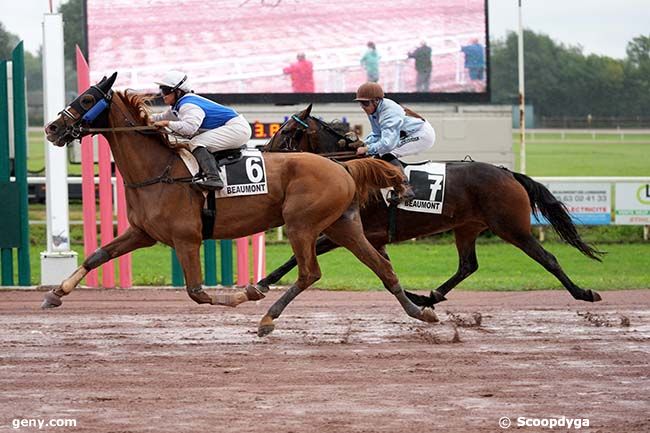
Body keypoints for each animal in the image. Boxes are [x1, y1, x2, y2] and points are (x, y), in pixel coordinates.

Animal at [41, 74, 436, 336]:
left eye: (87, 100)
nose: (51, 128)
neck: (159, 170)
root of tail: (343, 166)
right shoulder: (142, 233)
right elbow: (97, 256)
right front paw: (55, 295)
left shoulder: (186, 239)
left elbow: (198, 293)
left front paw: (240, 295)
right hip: (343, 225)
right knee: (382, 268)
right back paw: (421, 312)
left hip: (302, 225)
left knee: (310, 272)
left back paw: (267, 317)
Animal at [254, 106, 604, 306]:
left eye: (287, 131)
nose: (265, 153)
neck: (349, 169)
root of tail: (508, 173)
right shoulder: (371, 237)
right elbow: (386, 270)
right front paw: (415, 296)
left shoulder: (347, 232)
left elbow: (294, 259)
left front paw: (261, 284)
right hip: (467, 227)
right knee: (467, 265)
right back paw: (433, 294)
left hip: (512, 227)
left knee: (548, 258)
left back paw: (584, 292)